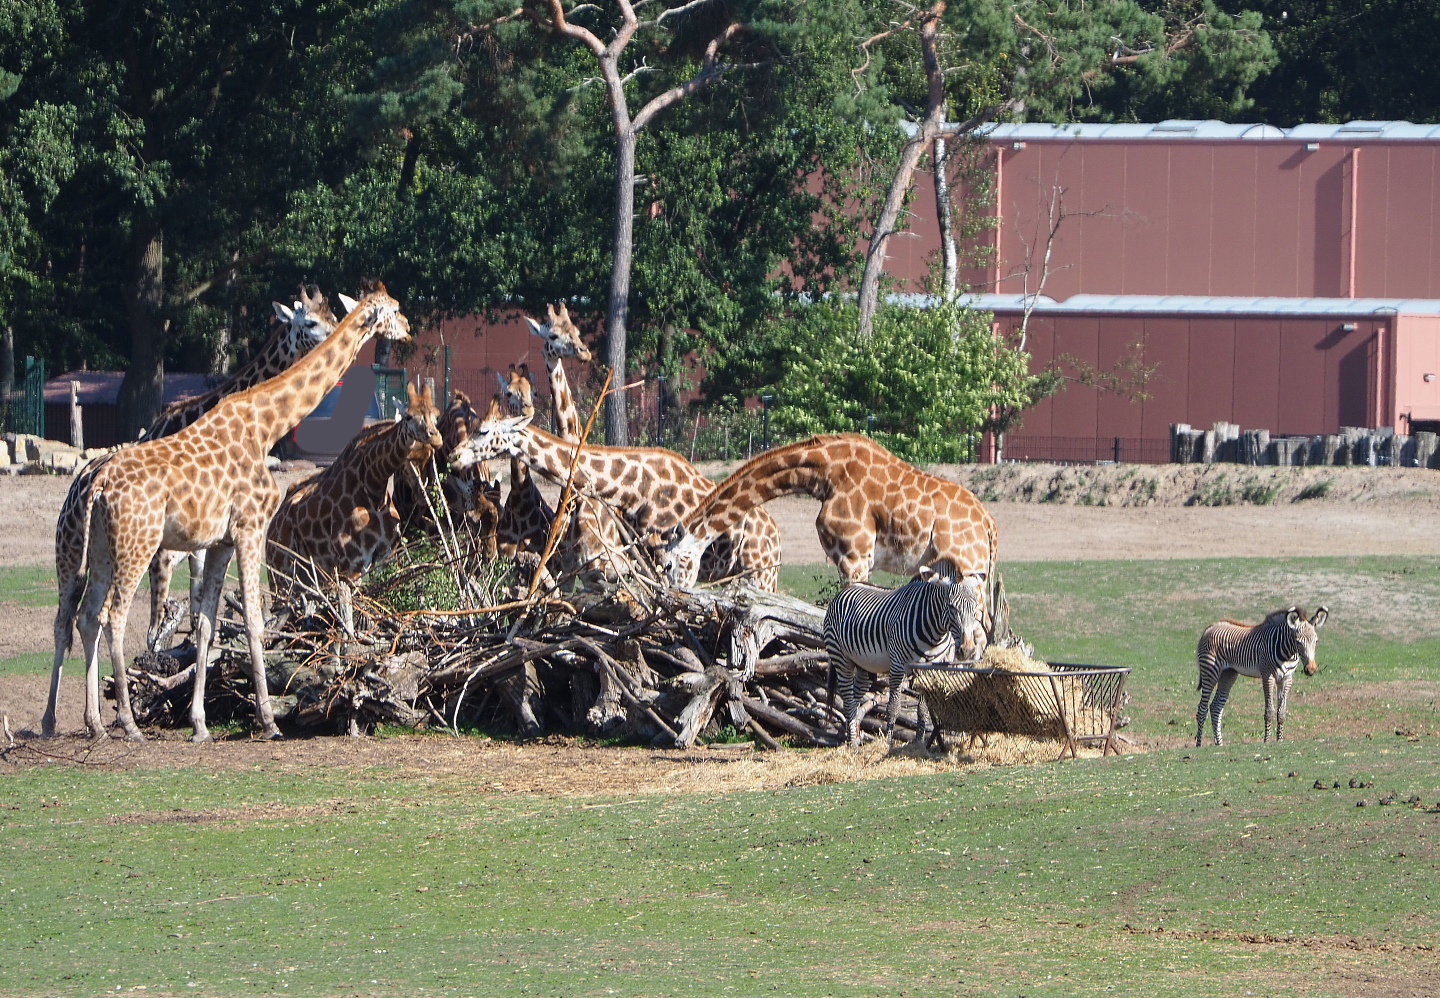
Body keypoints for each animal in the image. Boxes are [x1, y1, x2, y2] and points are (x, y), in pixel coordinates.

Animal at [44, 284, 411, 742]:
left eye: (331, 315)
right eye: (392, 310)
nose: (408, 328)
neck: (266, 424)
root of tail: (95, 485)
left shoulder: (219, 540)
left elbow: (206, 623)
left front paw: (199, 723)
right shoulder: (250, 526)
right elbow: (254, 619)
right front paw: (268, 720)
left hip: (99, 550)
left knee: (86, 617)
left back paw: (94, 723)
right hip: (135, 545)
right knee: (111, 618)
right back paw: (123, 723)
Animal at [267, 382, 443, 633]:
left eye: (435, 415)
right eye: (408, 416)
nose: (435, 438)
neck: (373, 483)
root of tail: (272, 526)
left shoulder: (380, 558)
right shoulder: (351, 565)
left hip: (307, 576)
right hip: (280, 573)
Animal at [659, 434, 998, 602]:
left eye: (668, 564)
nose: (676, 595)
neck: (825, 473)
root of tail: (989, 525)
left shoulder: (855, 557)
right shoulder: (856, 561)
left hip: (966, 571)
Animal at [824, 566, 987, 745]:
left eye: (975, 608)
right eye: (951, 607)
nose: (967, 650)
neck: (934, 633)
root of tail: (846, 589)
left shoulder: (929, 669)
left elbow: (923, 711)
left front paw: (919, 743)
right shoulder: (897, 666)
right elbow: (893, 708)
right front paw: (888, 742)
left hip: (863, 665)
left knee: (854, 699)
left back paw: (852, 740)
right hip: (841, 658)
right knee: (847, 700)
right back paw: (852, 744)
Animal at [1195, 606, 1328, 747]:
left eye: (1316, 641)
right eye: (1298, 642)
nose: (1311, 669)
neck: (1287, 653)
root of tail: (1210, 627)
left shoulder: (1287, 678)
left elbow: (1281, 712)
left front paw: (1279, 740)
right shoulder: (1268, 676)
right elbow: (1269, 711)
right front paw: (1267, 741)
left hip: (1228, 674)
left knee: (1216, 707)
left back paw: (1219, 743)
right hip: (1210, 671)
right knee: (1202, 709)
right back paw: (1199, 744)